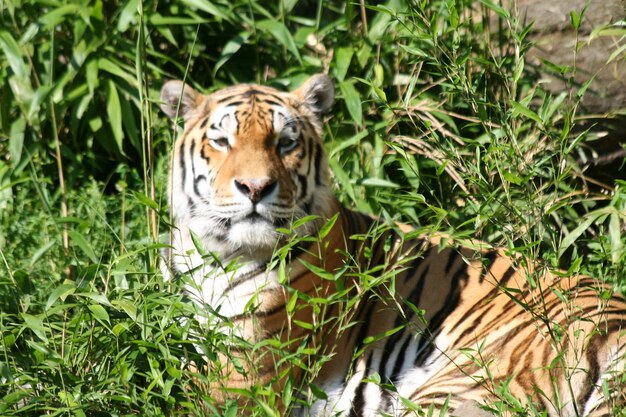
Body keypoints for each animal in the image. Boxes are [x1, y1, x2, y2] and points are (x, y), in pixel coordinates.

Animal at [160, 73, 624, 414]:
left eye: (285, 143)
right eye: (221, 142)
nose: (255, 188)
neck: (216, 252)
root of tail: (612, 328)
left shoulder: (242, 376)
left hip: (464, 386)